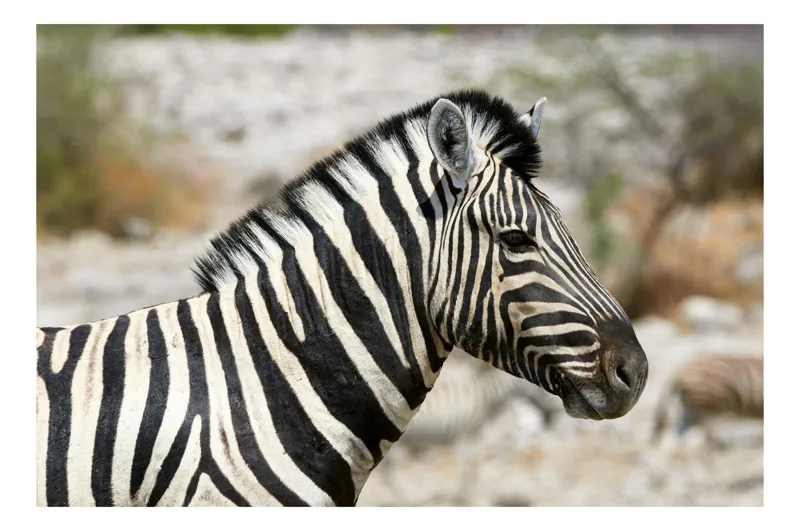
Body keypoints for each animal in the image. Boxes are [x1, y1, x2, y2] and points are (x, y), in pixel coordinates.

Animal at [376, 348, 561, 506]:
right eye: (547, 388)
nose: (552, 416)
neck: (485, 393)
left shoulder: (472, 433)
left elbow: (470, 467)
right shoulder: (468, 431)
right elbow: (469, 467)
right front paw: (468, 499)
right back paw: (408, 498)